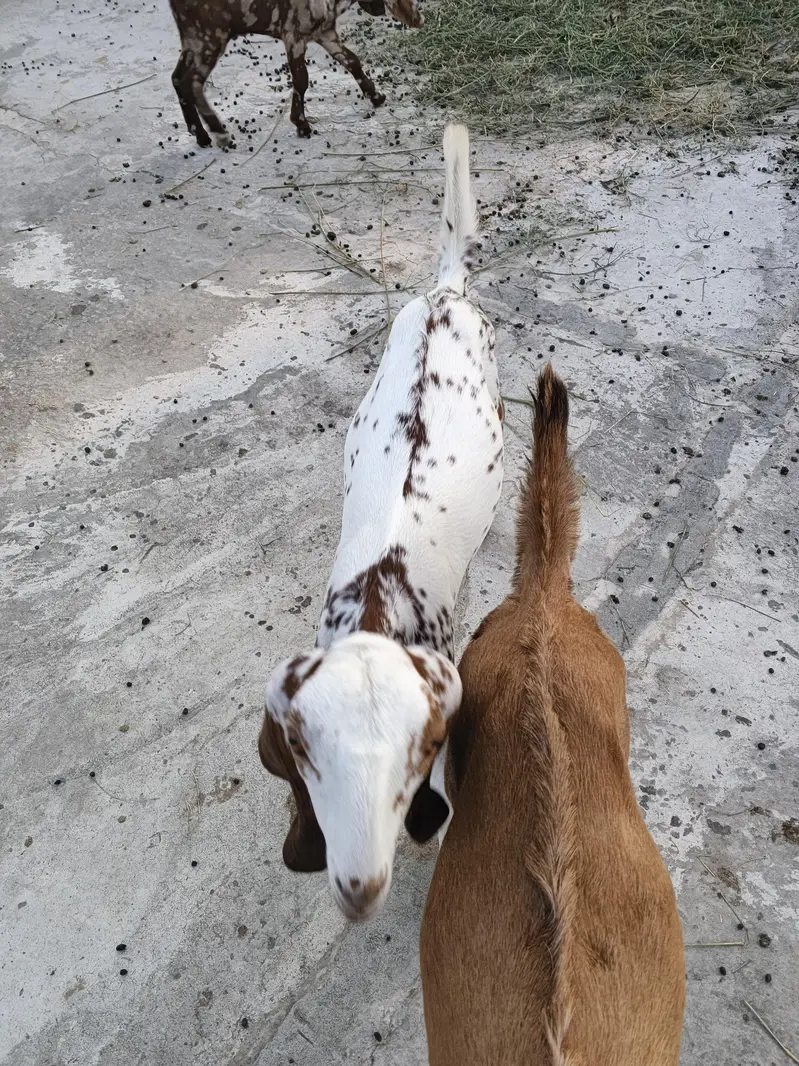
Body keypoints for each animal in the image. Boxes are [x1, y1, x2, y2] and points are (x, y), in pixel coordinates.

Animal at [167, 0, 422, 146]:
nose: (417, 19)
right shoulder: (294, 35)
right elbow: (301, 80)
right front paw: (301, 124)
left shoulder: (324, 32)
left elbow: (352, 61)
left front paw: (376, 96)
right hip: (209, 36)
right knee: (192, 82)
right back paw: (219, 133)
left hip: (194, 39)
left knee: (178, 78)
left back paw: (200, 135)